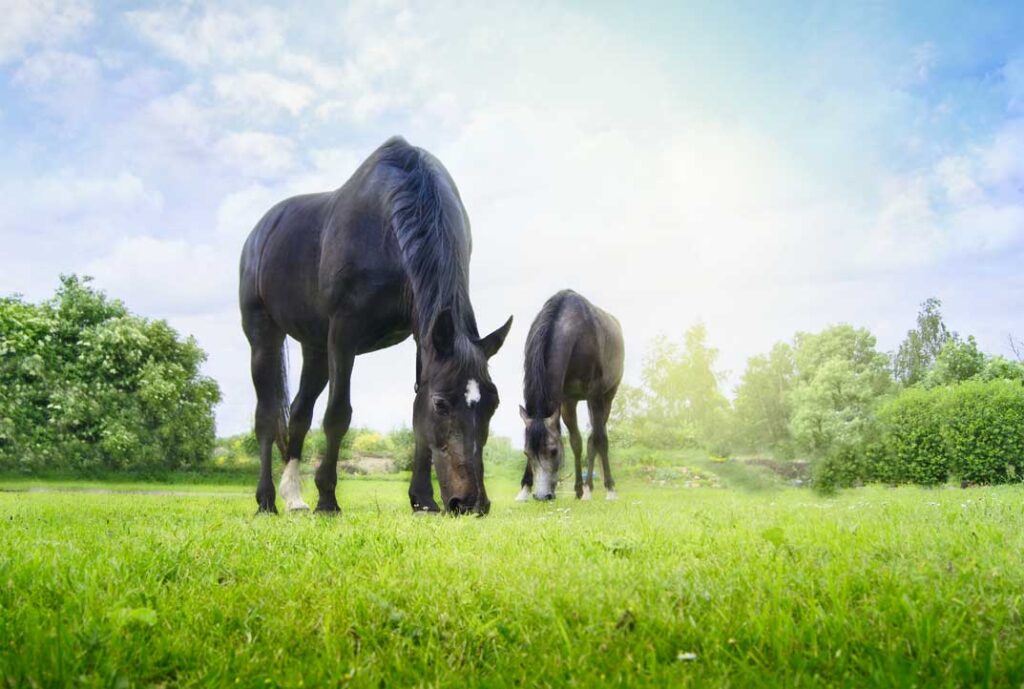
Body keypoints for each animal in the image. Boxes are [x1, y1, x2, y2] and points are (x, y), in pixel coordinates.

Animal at [239, 136, 512, 516]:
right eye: (442, 404)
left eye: (492, 403)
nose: (471, 503)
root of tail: (260, 232)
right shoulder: (343, 334)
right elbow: (338, 414)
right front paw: (327, 498)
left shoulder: (422, 336)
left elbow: (415, 416)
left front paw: (423, 498)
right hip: (264, 336)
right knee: (266, 418)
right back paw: (266, 500)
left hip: (315, 347)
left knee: (299, 413)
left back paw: (293, 497)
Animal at [517, 290, 624, 501]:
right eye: (526, 453)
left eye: (553, 451)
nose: (541, 496)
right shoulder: (565, 401)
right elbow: (575, 442)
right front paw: (524, 490)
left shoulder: (595, 394)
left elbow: (599, 440)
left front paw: (609, 490)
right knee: (582, 441)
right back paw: (582, 489)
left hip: (606, 397)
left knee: (597, 438)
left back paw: (592, 488)